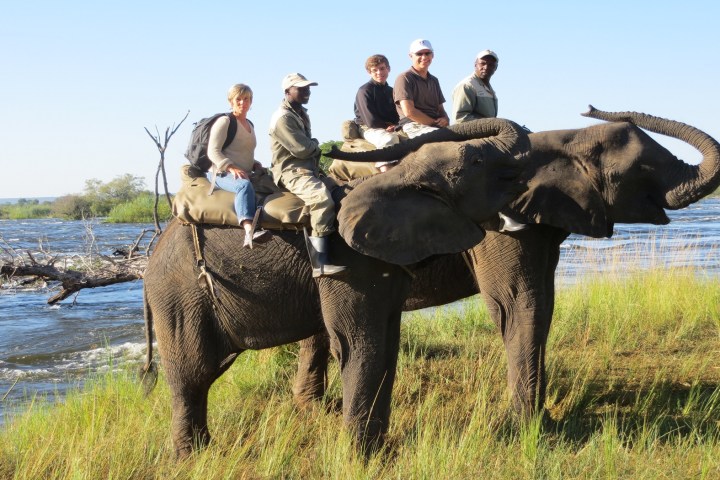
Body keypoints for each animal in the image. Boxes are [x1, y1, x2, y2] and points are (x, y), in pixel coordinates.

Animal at [140, 118, 531, 458]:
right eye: (476, 161)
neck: (394, 179)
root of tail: (150, 259)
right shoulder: (351, 263)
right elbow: (359, 343)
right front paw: (363, 458)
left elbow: (384, 345)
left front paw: (377, 451)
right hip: (180, 296)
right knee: (192, 375)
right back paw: (192, 458)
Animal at [291, 106, 720, 420]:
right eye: (641, 170)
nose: (591, 107)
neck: (562, 139)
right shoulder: (502, 224)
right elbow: (519, 303)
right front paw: (529, 423)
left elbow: (543, 303)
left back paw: (312, 408)